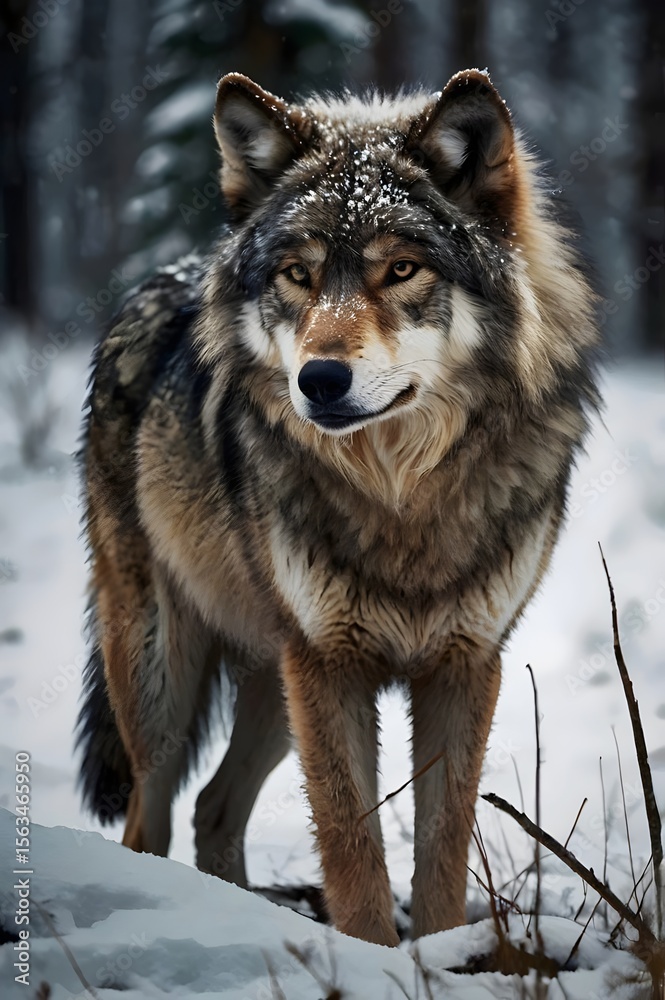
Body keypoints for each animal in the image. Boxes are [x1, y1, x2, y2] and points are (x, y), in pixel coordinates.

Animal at [77, 69, 600, 946]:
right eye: (297, 274)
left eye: (401, 269)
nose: (318, 381)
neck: (400, 497)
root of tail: (162, 278)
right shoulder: (329, 663)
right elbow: (353, 851)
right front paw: (370, 956)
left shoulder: (464, 662)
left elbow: (442, 846)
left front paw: (439, 951)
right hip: (166, 675)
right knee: (151, 820)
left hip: (271, 681)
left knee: (214, 808)